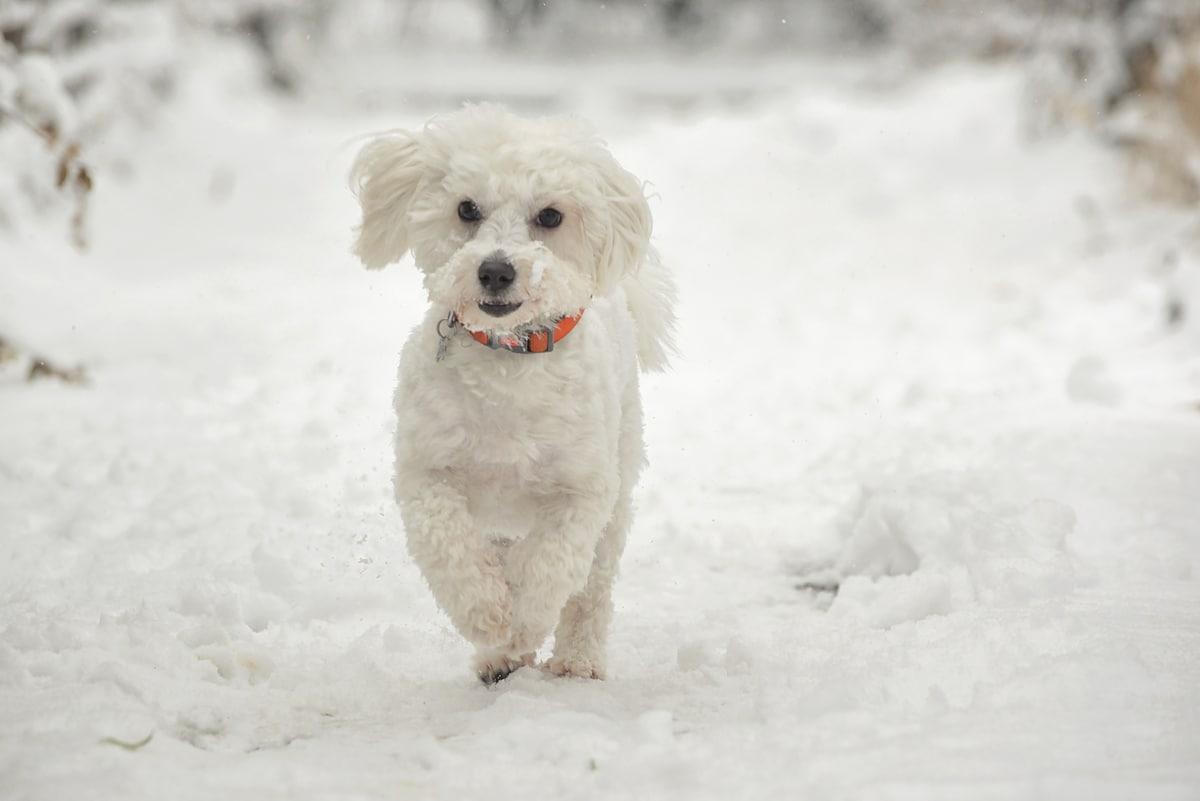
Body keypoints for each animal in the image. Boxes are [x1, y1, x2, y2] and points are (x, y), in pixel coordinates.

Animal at [350, 104, 681, 681]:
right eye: (466, 208)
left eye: (550, 216)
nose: (495, 270)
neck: (509, 360)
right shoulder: (428, 471)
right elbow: (450, 548)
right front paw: (489, 618)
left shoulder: (581, 490)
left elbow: (551, 565)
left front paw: (523, 621)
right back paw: (499, 657)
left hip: (619, 480)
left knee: (592, 587)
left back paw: (576, 659)